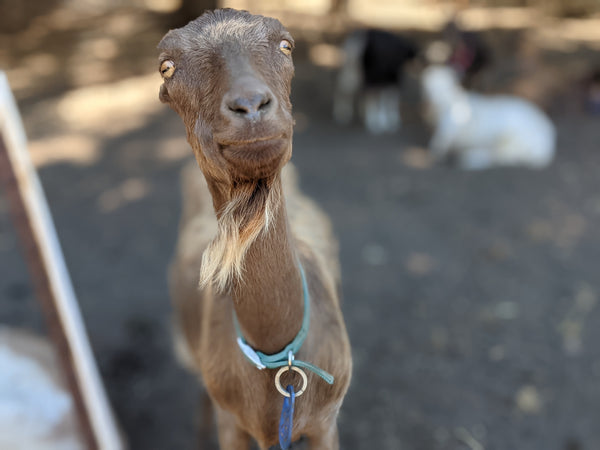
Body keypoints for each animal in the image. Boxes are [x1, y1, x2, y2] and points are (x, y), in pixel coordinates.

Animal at [158, 7, 352, 450]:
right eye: (166, 67)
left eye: (286, 44)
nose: (250, 105)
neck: (277, 355)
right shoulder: (231, 423)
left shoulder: (326, 422)